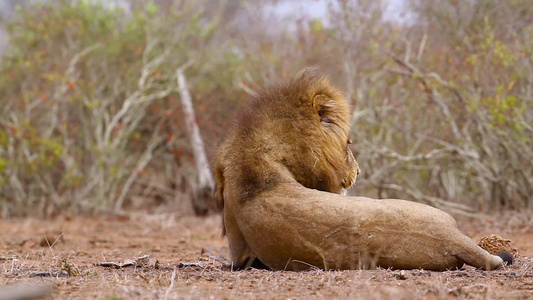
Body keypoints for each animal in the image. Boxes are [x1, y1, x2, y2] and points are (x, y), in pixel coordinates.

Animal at [214, 69, 510, 270]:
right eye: (349, 143)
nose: (359, 173)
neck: (253, 161)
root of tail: (452, 238)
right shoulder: (239, 255)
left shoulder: (239, 254)